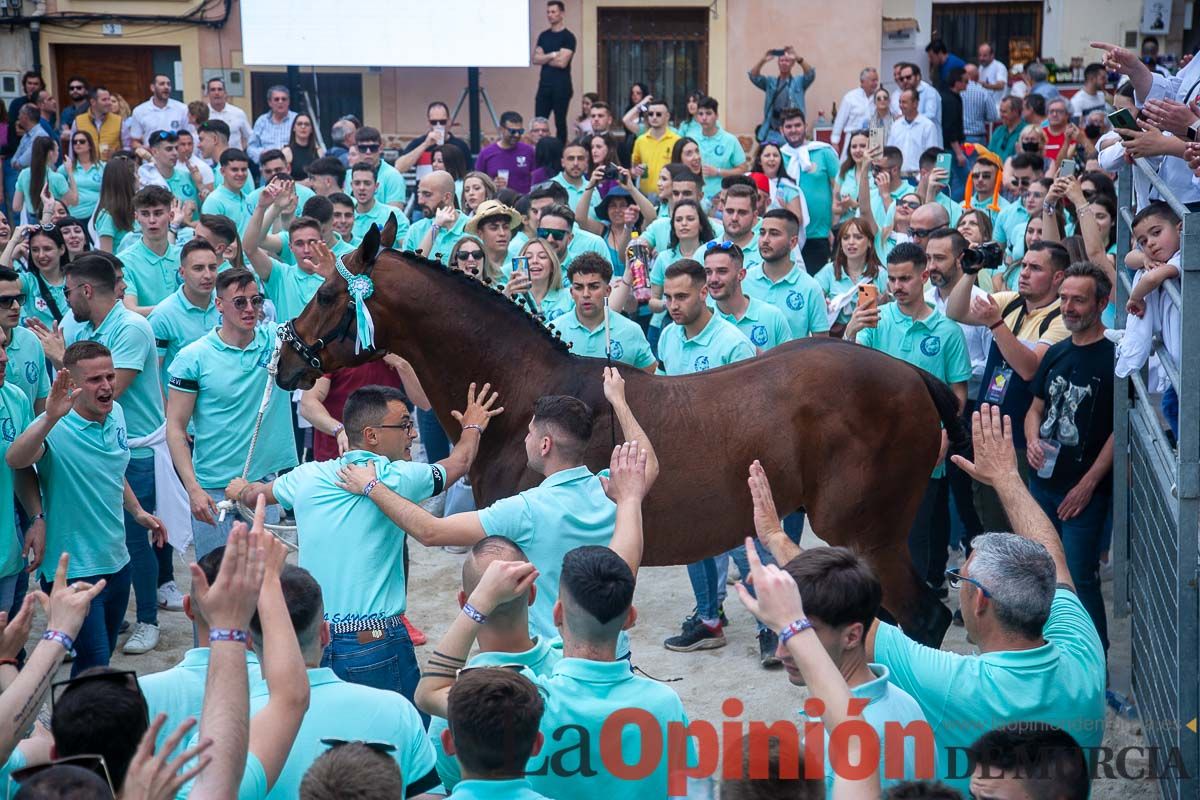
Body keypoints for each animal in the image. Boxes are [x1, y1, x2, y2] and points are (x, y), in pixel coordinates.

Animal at [276, 219, 960, 642]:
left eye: (330, 293)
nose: (284, 359)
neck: (526, 393)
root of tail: (914, 376)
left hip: (869, 535)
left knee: (925, 620)